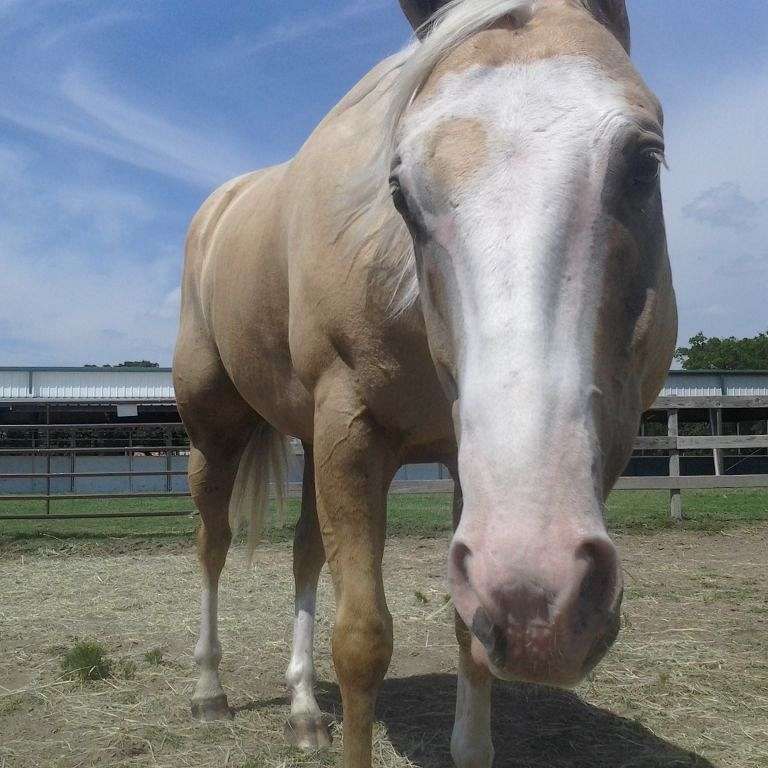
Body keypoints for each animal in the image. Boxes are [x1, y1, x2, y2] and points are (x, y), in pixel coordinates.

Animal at [172, 1, 677, 765]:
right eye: (400, 192)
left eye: (646, 163)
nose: (542, 597)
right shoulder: (352, 431)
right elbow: (361, 642)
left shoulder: (465, 478)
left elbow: (468, 636)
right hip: (215, 429)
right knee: (212, 544)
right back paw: (208, 693)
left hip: (310, 443)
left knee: (304, 554)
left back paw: (302, 708)